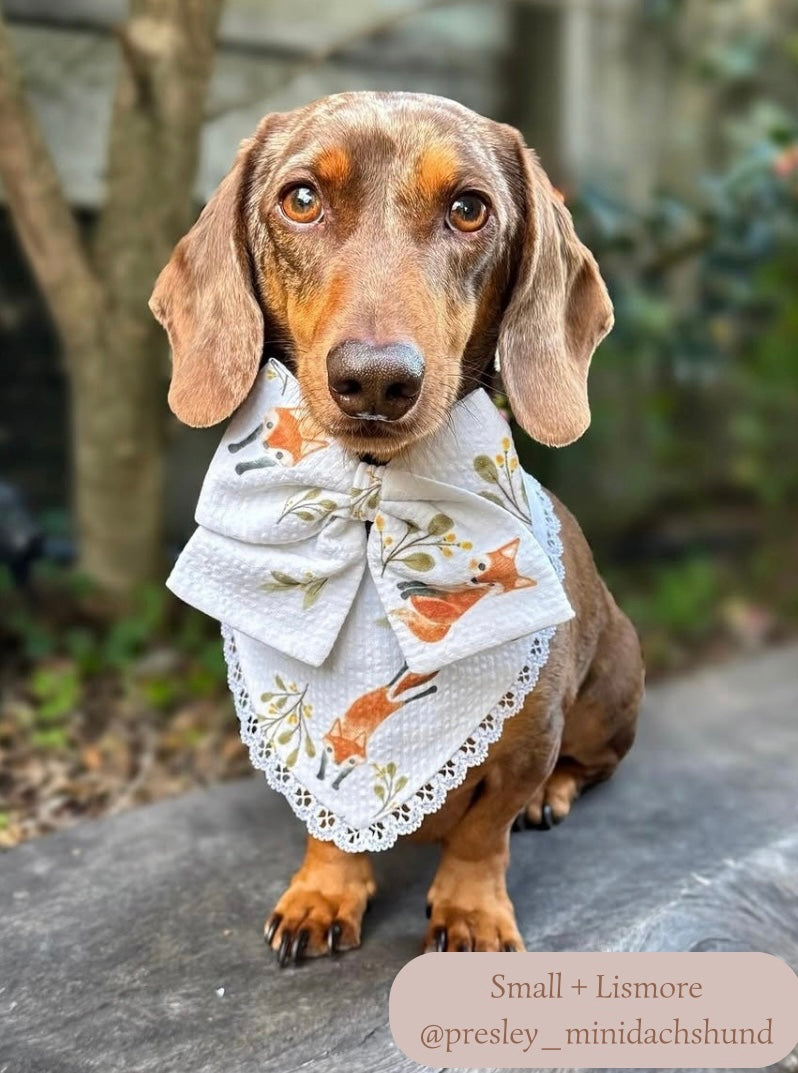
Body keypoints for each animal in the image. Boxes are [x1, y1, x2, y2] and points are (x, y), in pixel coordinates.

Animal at [392, 537, 536, 644]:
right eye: (482, 566)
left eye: (491, 584)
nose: (475, 580)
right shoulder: (442, 586)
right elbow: (420, 584)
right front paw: (406, 585)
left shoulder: (448, 594)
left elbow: (421, 589)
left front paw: (407, 592)